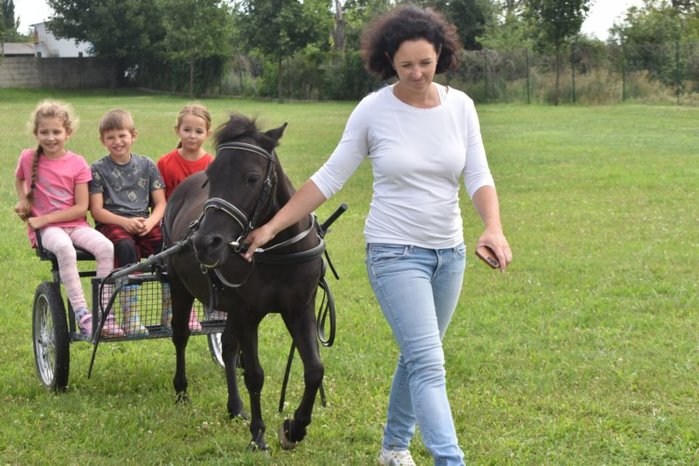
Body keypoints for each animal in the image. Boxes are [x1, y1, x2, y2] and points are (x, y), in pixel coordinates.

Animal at [162, 114, 326, 451]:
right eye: (210, 176)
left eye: (251, 178)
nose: (205, 243)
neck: (276, 249)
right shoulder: (247, 313)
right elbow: (254, 374)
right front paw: (258, 434)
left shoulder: (299, 309)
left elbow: (314, 370)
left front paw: (295, 428)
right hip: (180, 287)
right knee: (181, 336)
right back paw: (182, 390)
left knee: (227, 346)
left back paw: (235, 406)